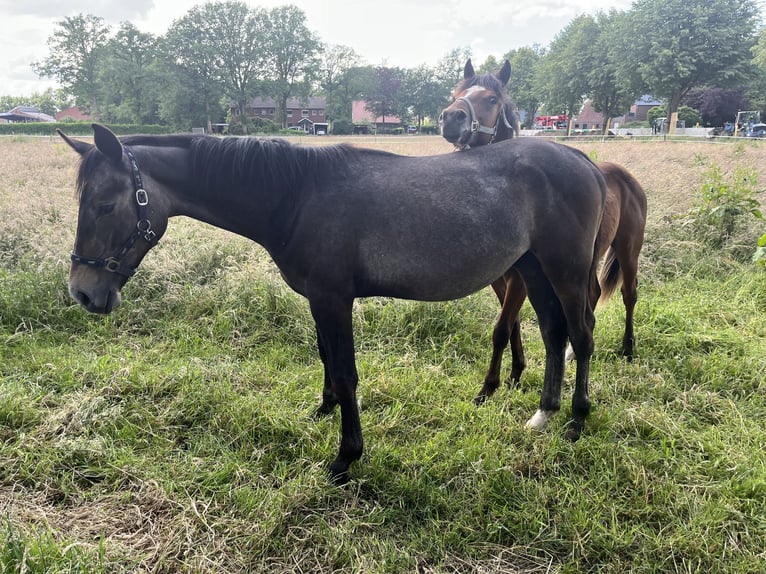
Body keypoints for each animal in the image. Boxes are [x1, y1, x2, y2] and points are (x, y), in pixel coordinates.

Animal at [58, 124, 608, 484]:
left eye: (105, 204)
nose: (83, 291)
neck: (296, 196)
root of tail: (582, 160)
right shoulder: (318, 301)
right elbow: (326, 360)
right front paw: (322, 410)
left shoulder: (333, 299)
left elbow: (345, 373)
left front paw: (346, 457)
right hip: (534, 268)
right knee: (554, 331)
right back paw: (543, 414)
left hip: (565, 270)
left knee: (581, 335)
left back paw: (577, 418)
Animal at [440, 60, 652, 408]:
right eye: (458, 92)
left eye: (492, 99)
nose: (451, 118)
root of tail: (622, 175)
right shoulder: (502, 279)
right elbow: (510, 325)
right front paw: (514, 374)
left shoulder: (520, 279)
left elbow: (501, 328)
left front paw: (488, 388)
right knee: (593, 297)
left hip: (628, 249)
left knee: (629, 293)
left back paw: (628, 347)